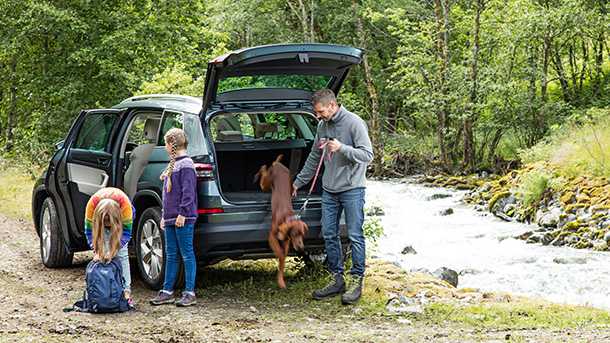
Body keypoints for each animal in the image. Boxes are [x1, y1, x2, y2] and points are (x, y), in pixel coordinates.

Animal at [253, 155, 306, 288]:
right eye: (294, 234)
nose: (301, 248)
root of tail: (278, 165)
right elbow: (280, 253)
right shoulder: (272, 236)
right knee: (264, 170)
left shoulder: (286, 240)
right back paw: (261, 170)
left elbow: (283, 258)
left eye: (302, 235)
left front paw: (281, 281)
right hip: (266, 183)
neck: (287, 217)